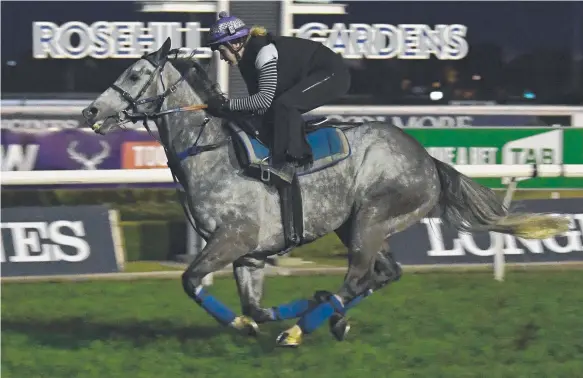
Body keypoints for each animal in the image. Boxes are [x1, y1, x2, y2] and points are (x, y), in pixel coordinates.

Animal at [82, 39, 572, 348]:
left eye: (136, 73)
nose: (90, 111)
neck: (212, 152)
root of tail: (427, 158)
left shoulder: (233, 238)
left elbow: (190, 281)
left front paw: (249, 324)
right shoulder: (248, 253)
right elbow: (256, 307)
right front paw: (275, 314)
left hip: (374, 217)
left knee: (359, 276)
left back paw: (304, 329)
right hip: (356, 225)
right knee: (383, 273)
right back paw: (329, 317)